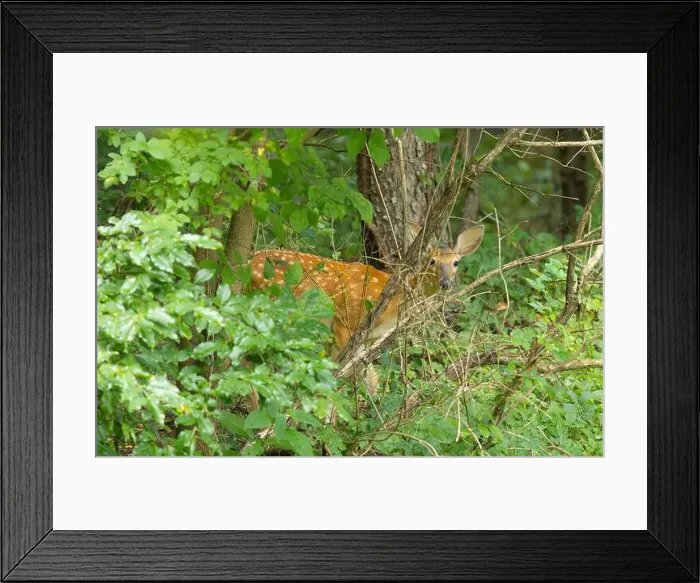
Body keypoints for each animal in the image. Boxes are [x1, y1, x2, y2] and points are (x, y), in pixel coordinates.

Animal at [248, 224, 485, 399]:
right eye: (432, 261)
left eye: (456, 262)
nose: (445, 283)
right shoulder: (344, 322)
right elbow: (339, 373)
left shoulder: (370, 338)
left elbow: (370, 379)